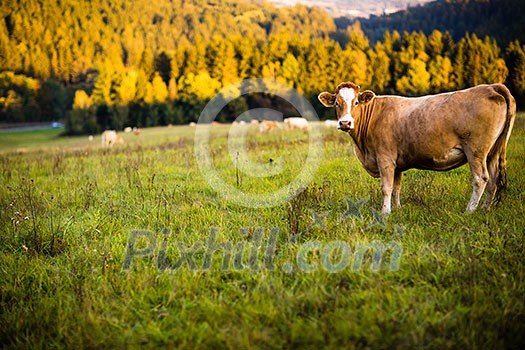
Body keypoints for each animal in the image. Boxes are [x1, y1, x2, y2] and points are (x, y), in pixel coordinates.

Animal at [318, 81, 512, 213]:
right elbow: (396, 188)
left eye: (356, 102)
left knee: (481, 179)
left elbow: (386, 187)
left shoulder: (385, 158)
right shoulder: (396, 163)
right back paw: (485, 209)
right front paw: (397, 209)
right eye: (337, 103)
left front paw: (385, 212)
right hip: (493, 152)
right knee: (493, 180)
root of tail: (491, 87)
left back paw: (469, 211)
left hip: (476, 150)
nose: (345, 123)